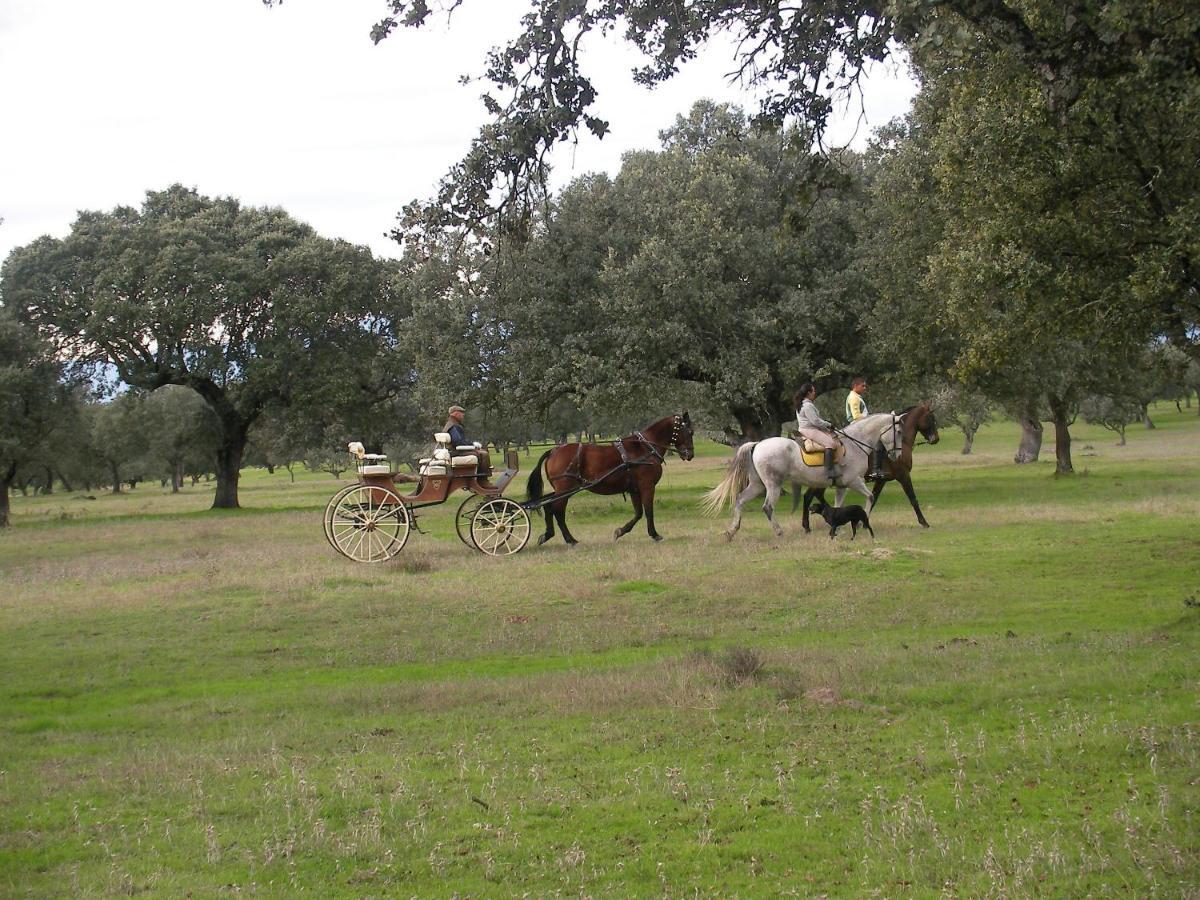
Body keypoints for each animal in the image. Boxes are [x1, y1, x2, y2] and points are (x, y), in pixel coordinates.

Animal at [525, 412, 696, 547]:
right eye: (690, 432)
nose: (690, 454)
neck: (645, 448)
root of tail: (554, 450)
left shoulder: (634, 489)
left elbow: (638, 513)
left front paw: (620, 531)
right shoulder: (647, 486)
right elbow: (648, 511)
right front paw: (654, 534)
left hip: (562, 490)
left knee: (549, 507)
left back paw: (548, 535)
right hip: (565, 489)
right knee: (557, 510)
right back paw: (570, 539)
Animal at [700, 412, 902, 540]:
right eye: (899, 432)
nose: (897, 455)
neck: (855, 444)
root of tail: (757, 444)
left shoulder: (842, 485)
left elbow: (838, 506)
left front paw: (837, 528)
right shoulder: (854, 481)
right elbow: (871, 497)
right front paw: (861, 524)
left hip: (758, 485)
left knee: (740, 500)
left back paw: (731, 532)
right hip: (773, 485)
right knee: (767, 507)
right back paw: (779, 532)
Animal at [792, 405, 940, 532]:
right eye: (930, 418)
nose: (936, 439)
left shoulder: (881, 480)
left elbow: (874, 498)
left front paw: (861, 523)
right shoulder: (903, 475)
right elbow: (913, 499)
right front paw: (924, 522)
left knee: (814, 495)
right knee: (809, 496)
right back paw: (808, 525)